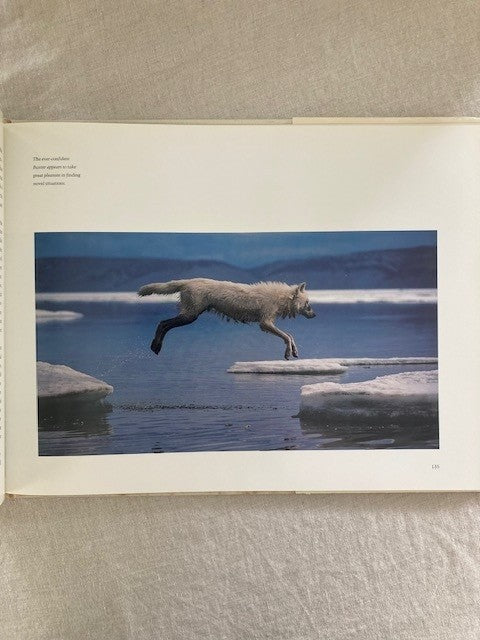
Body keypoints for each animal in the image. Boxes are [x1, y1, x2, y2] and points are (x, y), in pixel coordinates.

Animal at [138, 278, 316, 359]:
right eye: (307, 303)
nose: (315, 315)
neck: (280, 298)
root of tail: (188, 281)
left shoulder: (268, 323)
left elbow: (290, 335)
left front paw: (294, 351)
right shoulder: (265, 323)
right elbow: (287, 335)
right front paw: (288, 352)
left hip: (190, 315)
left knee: (164, 324)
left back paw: (155, 346)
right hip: (190, 316)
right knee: (163, 323)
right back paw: (156, 346)